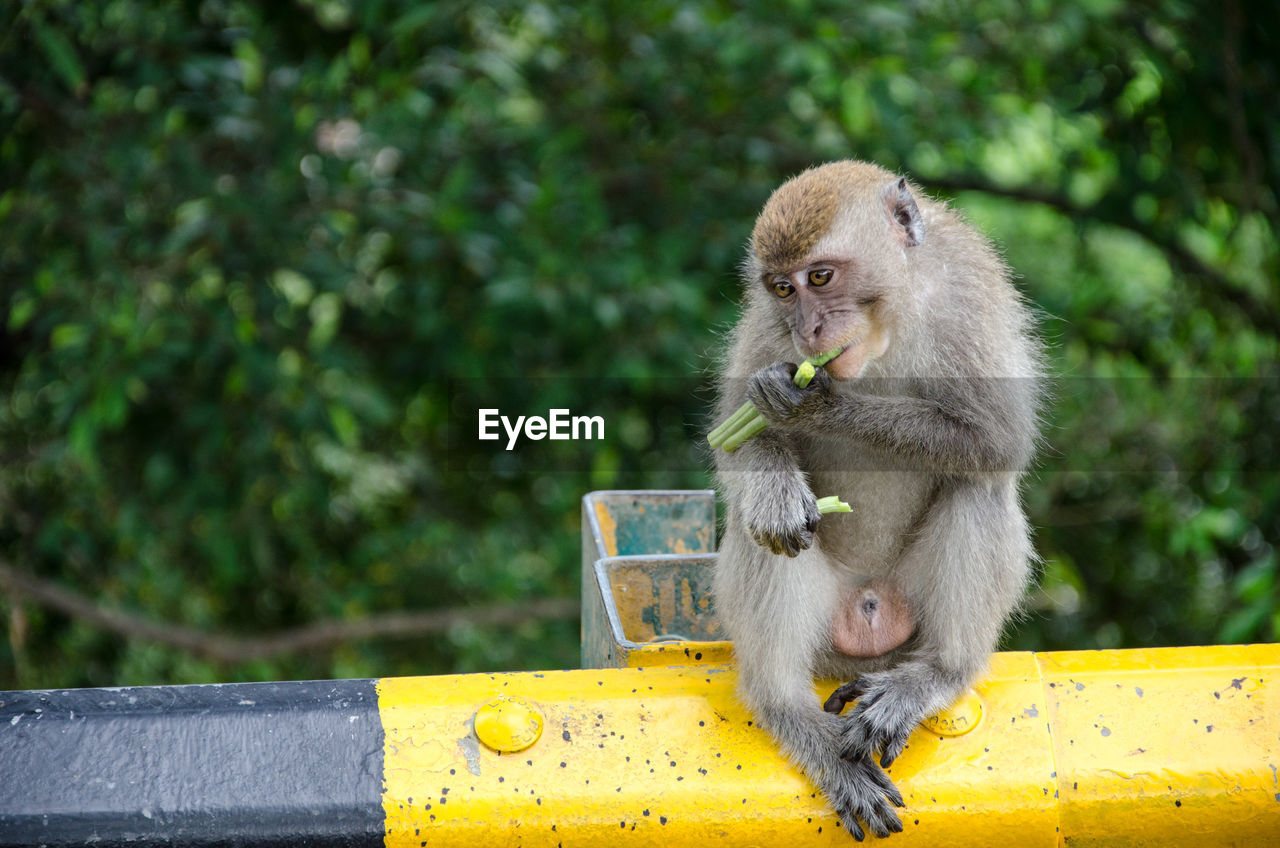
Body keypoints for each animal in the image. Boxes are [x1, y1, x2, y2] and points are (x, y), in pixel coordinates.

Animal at [706, 161, 1044, 845]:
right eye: (782, 288)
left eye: (821, 277)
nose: (809, 331)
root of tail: (867, 624)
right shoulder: (765, 324)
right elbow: (738, 442)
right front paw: (776, 468)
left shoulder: (972, 291)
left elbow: (999, 438)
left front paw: (815, 402)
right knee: (767, 531)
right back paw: (789, 710)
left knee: (979, 486)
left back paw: (937, 674)